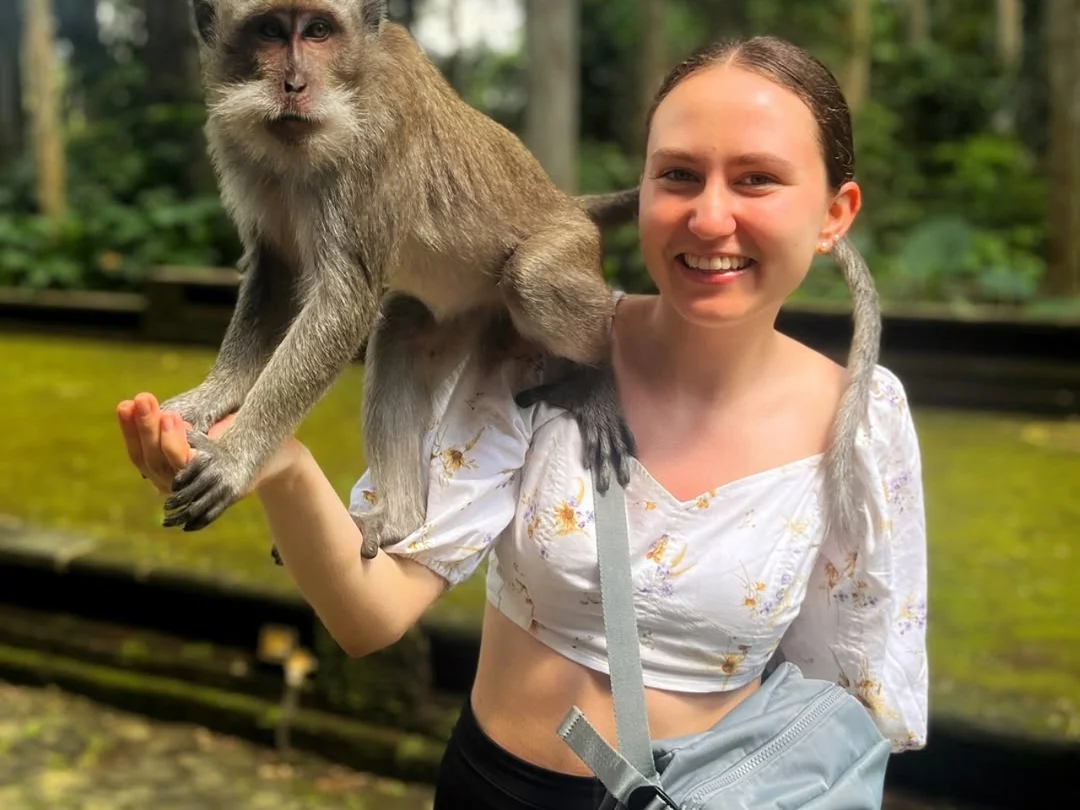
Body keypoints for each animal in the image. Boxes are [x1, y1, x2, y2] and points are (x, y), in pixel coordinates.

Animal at [159, 0, 641, 559]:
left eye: (319, 30)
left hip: (569, 246)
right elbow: (277, 272)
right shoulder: (235, 139)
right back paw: (398, 520)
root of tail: (568, 204)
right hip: (469, 307)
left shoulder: (377, 132)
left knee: (532, 277)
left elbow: (345, 299)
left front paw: (235, 459)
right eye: (270, 31)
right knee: (401, 324)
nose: (295, 84)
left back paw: (599, 378)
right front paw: (210, 400)